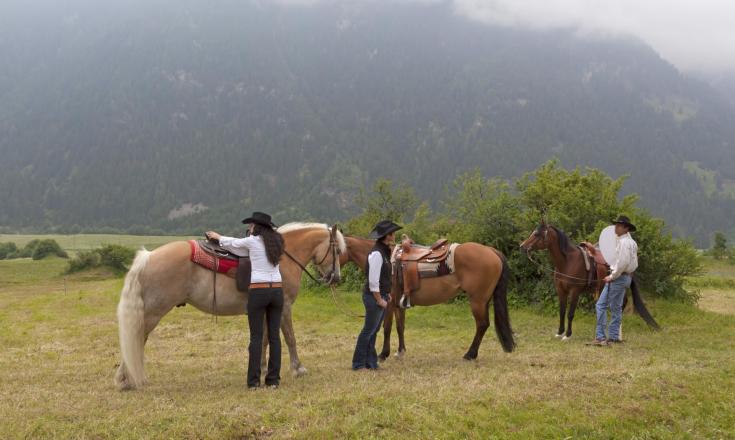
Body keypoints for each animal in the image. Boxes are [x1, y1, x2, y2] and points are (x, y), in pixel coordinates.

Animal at [115, 222, 344, 390]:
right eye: (337, 251)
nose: (336, 278)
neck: (280, 256)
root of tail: (148, 257)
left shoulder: (264, 310)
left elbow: (263, 341)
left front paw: (261, 369)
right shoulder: (283, 307)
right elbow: (290, 338)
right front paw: (298, 369)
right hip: (153, 313)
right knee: (137, 338)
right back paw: (127, 380)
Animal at [342, 234, 516, 360]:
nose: (334, 277)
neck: (384, 260)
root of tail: (491, 251)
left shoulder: (389, 304)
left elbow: (387, 327)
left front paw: (384, 354)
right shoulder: (399, 304)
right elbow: (400, 327)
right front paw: (400, 351)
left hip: (477, 300)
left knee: (482, 325)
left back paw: (470, 354)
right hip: (483, 300)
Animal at [520, 220, 660, 340]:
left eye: (537, 234)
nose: (522, 246)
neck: (567, 262)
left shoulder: (575, 291)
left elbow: (570, 313)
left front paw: (568, 335)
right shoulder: (561, 290)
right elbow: (562, 311)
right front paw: (559, 332)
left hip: (621, 289)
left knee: (621, 305)